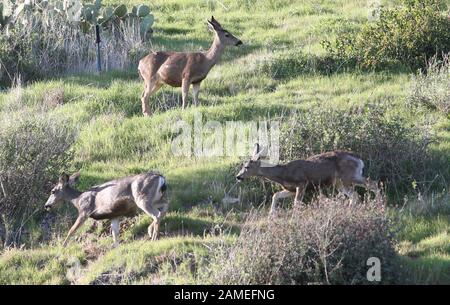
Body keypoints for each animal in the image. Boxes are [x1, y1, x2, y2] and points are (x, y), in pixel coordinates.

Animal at [234, 143, 378, 213]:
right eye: (242, 165)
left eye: (247, 166)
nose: (238, 177)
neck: (283, 173)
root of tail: (360, 160)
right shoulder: (291, 189)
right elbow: (275, 195)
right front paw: (271, 215)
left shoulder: (302, 183)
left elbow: (296, 203)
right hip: (340, 182)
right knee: (355, 194)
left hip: (349, 176)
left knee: (373, 184)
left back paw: (379, 204)